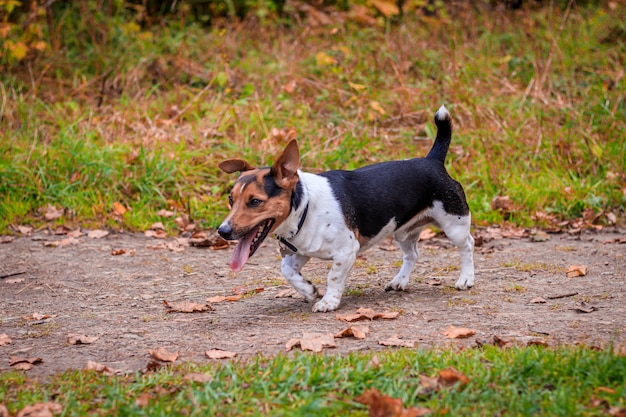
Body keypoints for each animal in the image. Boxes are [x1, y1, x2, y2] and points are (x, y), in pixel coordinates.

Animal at [217, 105, 470, 310]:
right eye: (231, 199)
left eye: (255, 201)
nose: (222, 231)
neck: (305, 208)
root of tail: (432, 160)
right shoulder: (300, 252)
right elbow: (287, 271)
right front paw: (309, 291)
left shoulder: (346, 251)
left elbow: (333, 277)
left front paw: (328, 302)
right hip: (403, 232)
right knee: (412, 254)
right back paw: (400, 281)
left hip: (454, 223)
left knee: (467, 246)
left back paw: (466, 279)